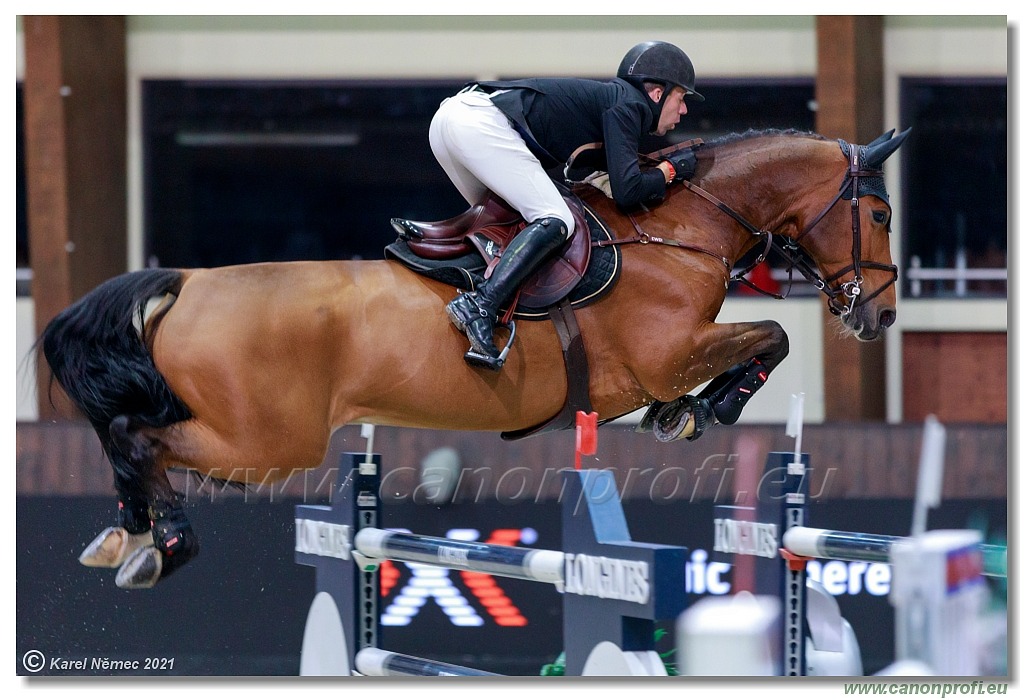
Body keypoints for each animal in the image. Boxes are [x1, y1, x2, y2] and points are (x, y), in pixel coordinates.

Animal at [36, 126, 909, 589]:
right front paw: (702, 409)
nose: (882, 313)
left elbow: (764, 339)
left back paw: (125, 537)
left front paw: (686, 413)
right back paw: (160, 547)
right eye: (879, 213)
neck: (675, 228)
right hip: (268, 443)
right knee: (139, 436)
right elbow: (773, 336)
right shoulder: (669, 354)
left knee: (127, 435)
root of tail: (187, 282)